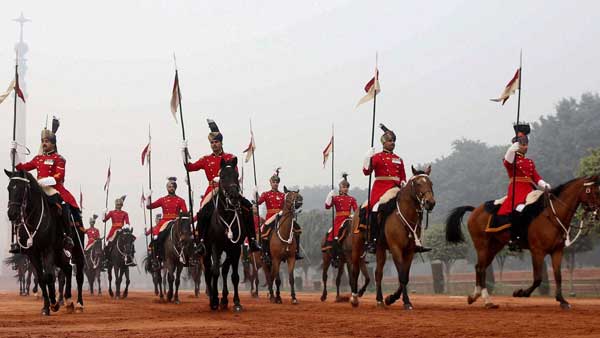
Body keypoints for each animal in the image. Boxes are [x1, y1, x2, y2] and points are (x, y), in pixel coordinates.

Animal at [5, 170, 85, 316]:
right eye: (9, 188)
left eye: (21, 188)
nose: (12, 214)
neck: (34, 220)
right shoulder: (33, 253)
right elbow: (41, 278)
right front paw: (46, 307)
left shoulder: (48, 250)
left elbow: (48, 276)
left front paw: (54, 304)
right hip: (59, 253)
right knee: (67, 269)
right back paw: (68, 301)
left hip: (76, 250)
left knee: (79, 275)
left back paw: (79, 304)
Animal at [203, 158, 247, 312]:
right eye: (222, 177)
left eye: (236, 175)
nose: (234, 196)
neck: (227, 216)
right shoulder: (215, 246)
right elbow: (215, 271)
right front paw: (215, 300)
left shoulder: (235, 248)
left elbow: (233, 275)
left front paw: (236, 302)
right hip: (206, 250)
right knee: (209, 270)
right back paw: (212, 297)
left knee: (224, 270)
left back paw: (224, 299)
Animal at [346, 166, 436, 308]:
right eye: (418, 183)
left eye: (430, 183)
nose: (430, 202)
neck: (405, 215)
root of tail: (356, 212)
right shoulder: (395, 248)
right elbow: (402, 275)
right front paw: (406, 302)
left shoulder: (410, 251)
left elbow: (405, 276)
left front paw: (391, 298)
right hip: (357, 246)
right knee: (355, 270)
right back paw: (354, 297)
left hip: (380, 248)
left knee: (378, 273)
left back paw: (379, 300)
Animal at [446, 174, 600, 308]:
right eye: (592, 191)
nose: (598, 213)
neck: (552, 215)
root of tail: (475, 210)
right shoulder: (537, 251)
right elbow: (538, 278)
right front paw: (521, 293)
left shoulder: (557, 251)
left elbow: (558, 276)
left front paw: (562, 300)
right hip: (482, 245)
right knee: (481, 268)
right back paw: (487, 300)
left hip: (494, 246)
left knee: (479, 267)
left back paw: (475, 296)